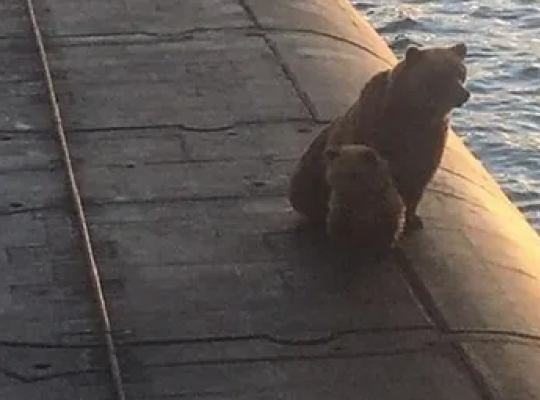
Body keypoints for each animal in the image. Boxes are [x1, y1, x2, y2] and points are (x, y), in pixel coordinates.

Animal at [288, 42, 470, 234]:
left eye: (461, 72)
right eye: (440, 73)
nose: (464, 94)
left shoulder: (429, 142)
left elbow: (418, 183)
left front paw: (413, 219)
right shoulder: (374, 131)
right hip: (309, 172)